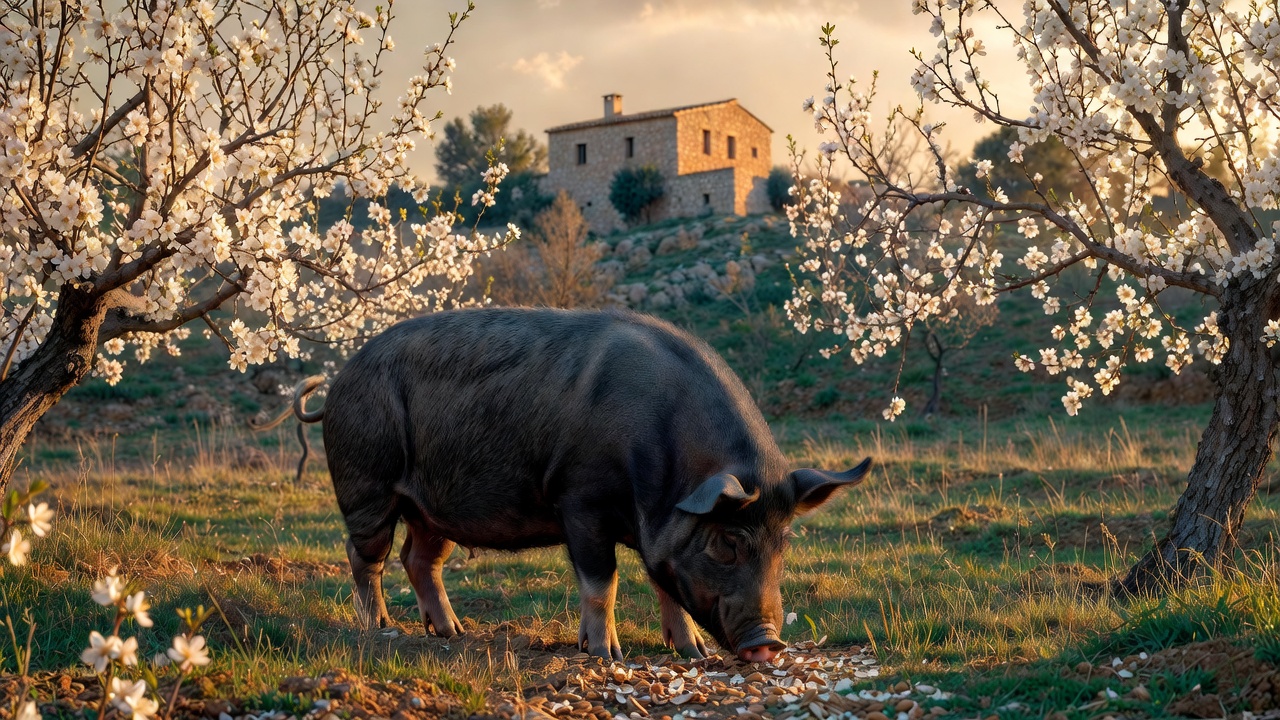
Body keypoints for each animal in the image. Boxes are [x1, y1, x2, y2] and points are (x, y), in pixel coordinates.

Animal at [269, 307, 869, 662]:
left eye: (784, 544)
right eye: (726, 542)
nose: (769, 644)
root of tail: (337, 383)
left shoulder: (654, 535)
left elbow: (664, 583)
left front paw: (692, 653)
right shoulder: (580, 500)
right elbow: (602, 582)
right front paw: (607, 656)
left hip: (430, 506)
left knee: (419, 559)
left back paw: (453, 633)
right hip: (366, 483)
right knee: (364, 556)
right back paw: (381, 628)